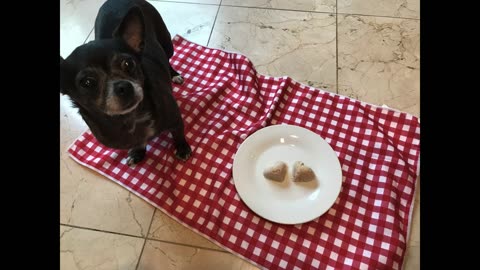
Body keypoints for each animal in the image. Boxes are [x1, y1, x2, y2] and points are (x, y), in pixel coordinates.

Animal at [61, 0, 192, 165]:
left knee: (167, 57)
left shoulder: (175, 120)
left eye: (128, 64)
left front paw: (182, 148)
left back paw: (174, 75)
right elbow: (138, 143)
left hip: (167, 43)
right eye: (87, 83)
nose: (123, 86)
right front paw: (138, 152)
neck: (131, 118)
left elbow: (178, 134)